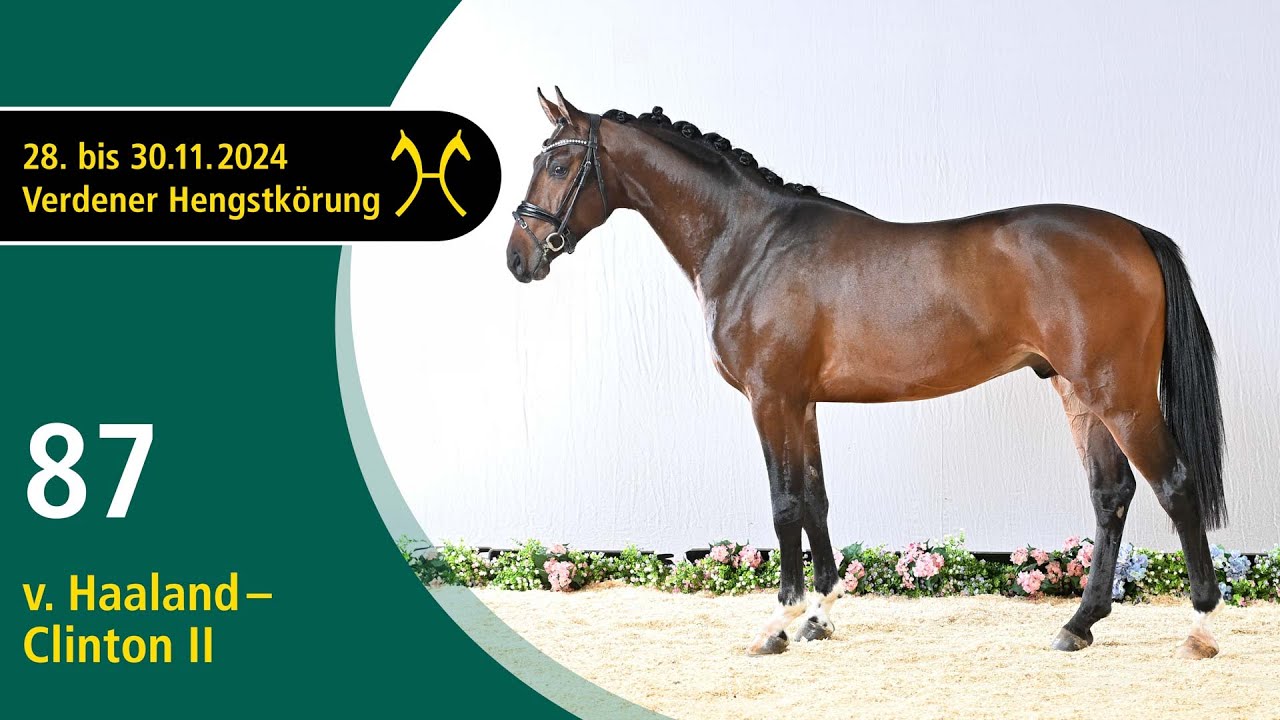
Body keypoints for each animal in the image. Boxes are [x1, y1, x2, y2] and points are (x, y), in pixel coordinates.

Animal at [507, 87, 1227, 659]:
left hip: (1120, 394)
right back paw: (1078, 625)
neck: (752, 244)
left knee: (1174, 484)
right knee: (1111, 494)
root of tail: (1133, 232)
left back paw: (1201, 628)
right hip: (1079, 394)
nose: (519, 258)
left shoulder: (770, 399)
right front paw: (819, 617)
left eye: (560, 164)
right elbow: (815, 500)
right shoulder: (801, 403)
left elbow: (784, 505)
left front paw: (778, 625)